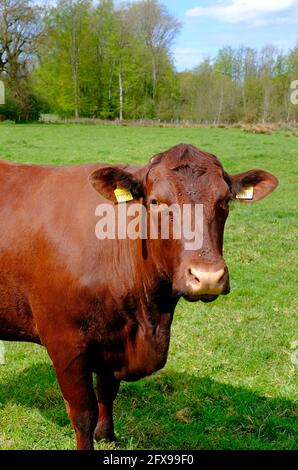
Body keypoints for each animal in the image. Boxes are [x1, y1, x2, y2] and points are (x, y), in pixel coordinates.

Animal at [0, 143, 278, 448]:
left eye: (225, 201)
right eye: (155, 202)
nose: (207, 277)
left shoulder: (114, 340)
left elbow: (107, 392)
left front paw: (107, 436)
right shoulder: (65, 342)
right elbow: (83, 413)